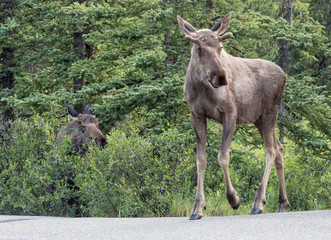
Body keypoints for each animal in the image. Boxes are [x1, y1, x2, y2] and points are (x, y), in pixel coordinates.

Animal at [178, 12, 290, 219]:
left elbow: (223, 156)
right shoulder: (196, 115)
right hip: (259, 119)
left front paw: (233, 199)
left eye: (220, 47)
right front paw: (197, 207)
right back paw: (282, 202)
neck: (202, 88)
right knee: (279, 148)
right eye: (199, 48)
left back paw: (258, 202)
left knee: (270, 150)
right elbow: (201, 159)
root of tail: (285, 75)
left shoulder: (230, 113)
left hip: (269, 113)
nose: (221, 77)